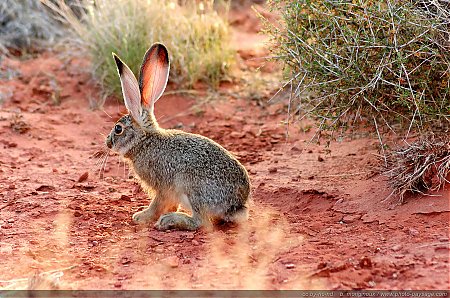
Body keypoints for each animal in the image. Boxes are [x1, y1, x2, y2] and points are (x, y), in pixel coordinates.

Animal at [107, 43, 251, 230]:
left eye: (118, 129)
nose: (108, 142)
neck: (145, 142)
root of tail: (236, 206)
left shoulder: (163, 186)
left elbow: (157, 204)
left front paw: (141, 216)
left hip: (192, 189)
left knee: (200, 222)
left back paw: (170, 220)